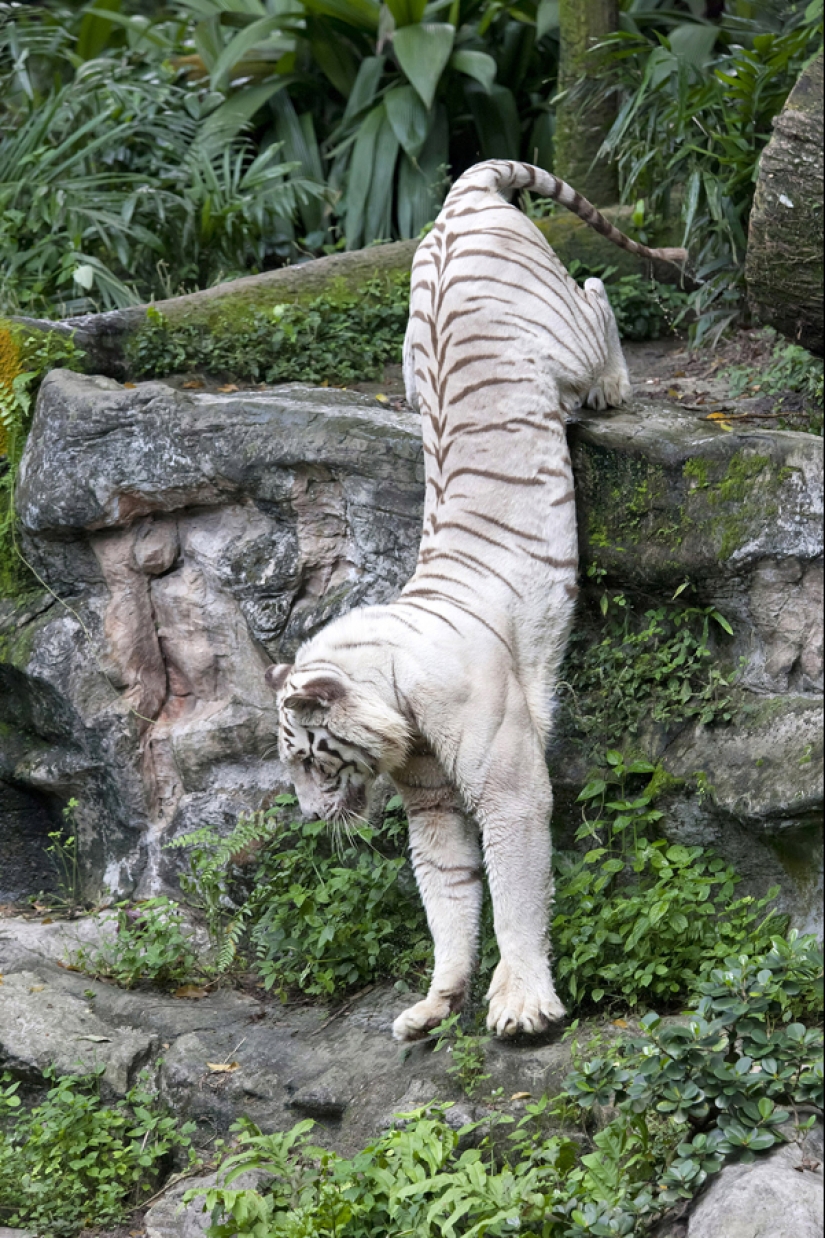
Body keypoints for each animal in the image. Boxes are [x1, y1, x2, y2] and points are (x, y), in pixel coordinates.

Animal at [265, 159, 687, 1041]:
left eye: (311, 759)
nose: (313, 821)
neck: (397, 699)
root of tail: (460, 197)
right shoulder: (427, 796)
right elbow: (447, 889)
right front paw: (438, 1000)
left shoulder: (509, 779)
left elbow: (515, 888)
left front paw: (521, 1004)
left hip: (562, 337)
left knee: (597, 295)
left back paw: (612, 384)